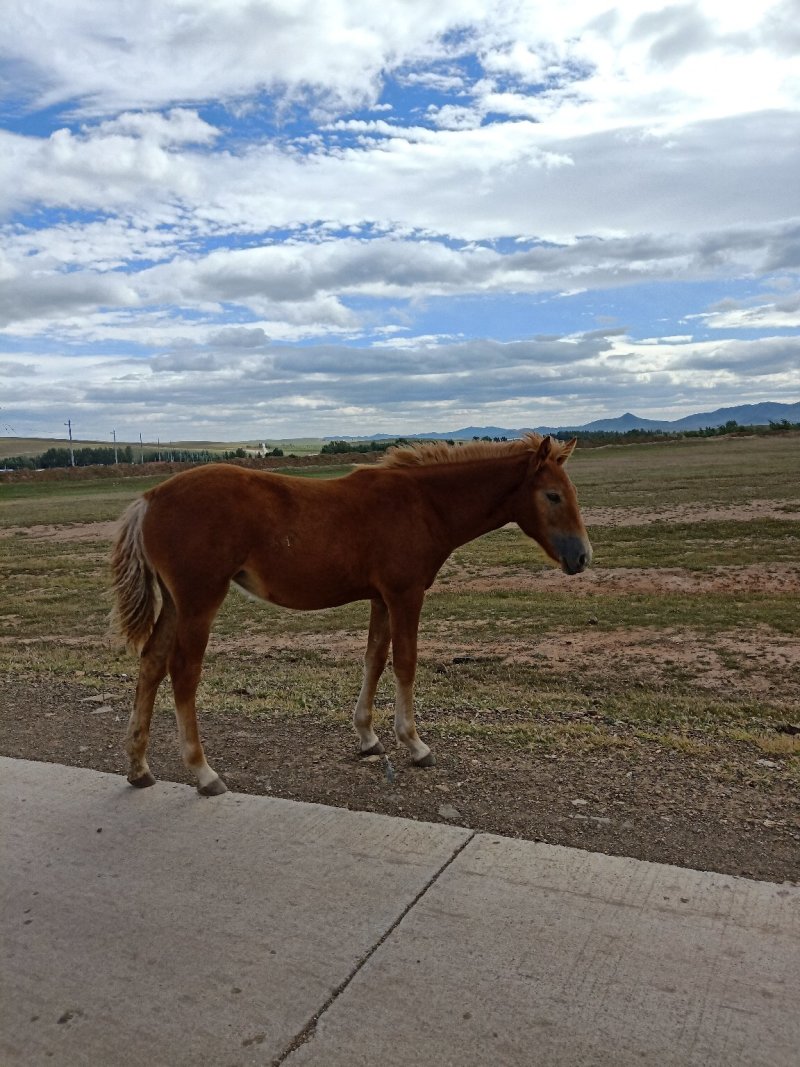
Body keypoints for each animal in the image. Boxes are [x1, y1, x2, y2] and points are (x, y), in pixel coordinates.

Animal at [110, 433, 592, 796]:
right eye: (552, 495)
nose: (582, 557)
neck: (423, 503)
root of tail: (150, 498)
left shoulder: (381, 598)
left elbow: (374, 660)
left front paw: (368, 737)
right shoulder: (405, 594)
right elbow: (405, 663)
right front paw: (414, 744)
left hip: (175, 603)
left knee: (151, 664)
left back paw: (139, 767)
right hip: (200, 600)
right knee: (183, 671)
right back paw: (203, 772)